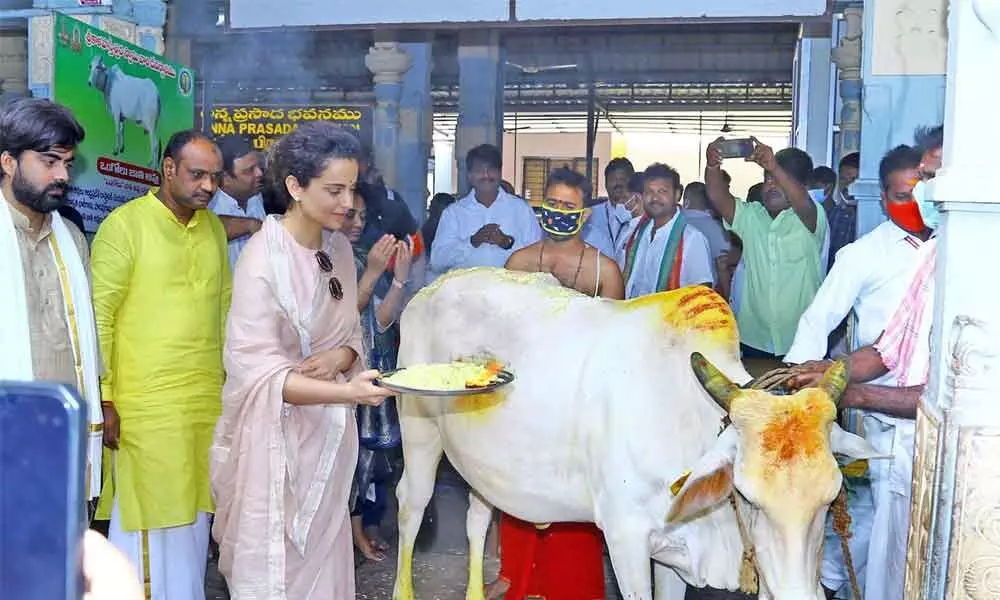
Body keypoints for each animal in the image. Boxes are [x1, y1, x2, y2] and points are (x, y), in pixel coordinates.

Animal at [394, 270, 880, 596]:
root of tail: (433, 287)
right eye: (746, 496)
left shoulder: (673, 553)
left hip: (482, 468)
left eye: (829, 500)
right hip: (419, 434)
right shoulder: (624, 538)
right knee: (410, 506)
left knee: (477, 520)